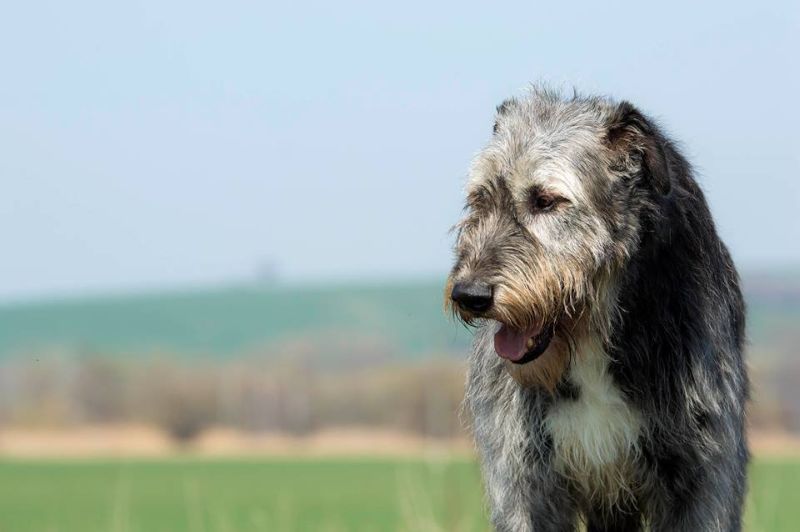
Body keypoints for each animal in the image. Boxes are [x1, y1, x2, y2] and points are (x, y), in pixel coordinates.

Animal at [446, 88, 748, 532]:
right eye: (480, 197)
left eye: (546, 200)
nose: (469, 294)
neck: (593, 338)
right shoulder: (522, 479)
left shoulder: (703, 478)